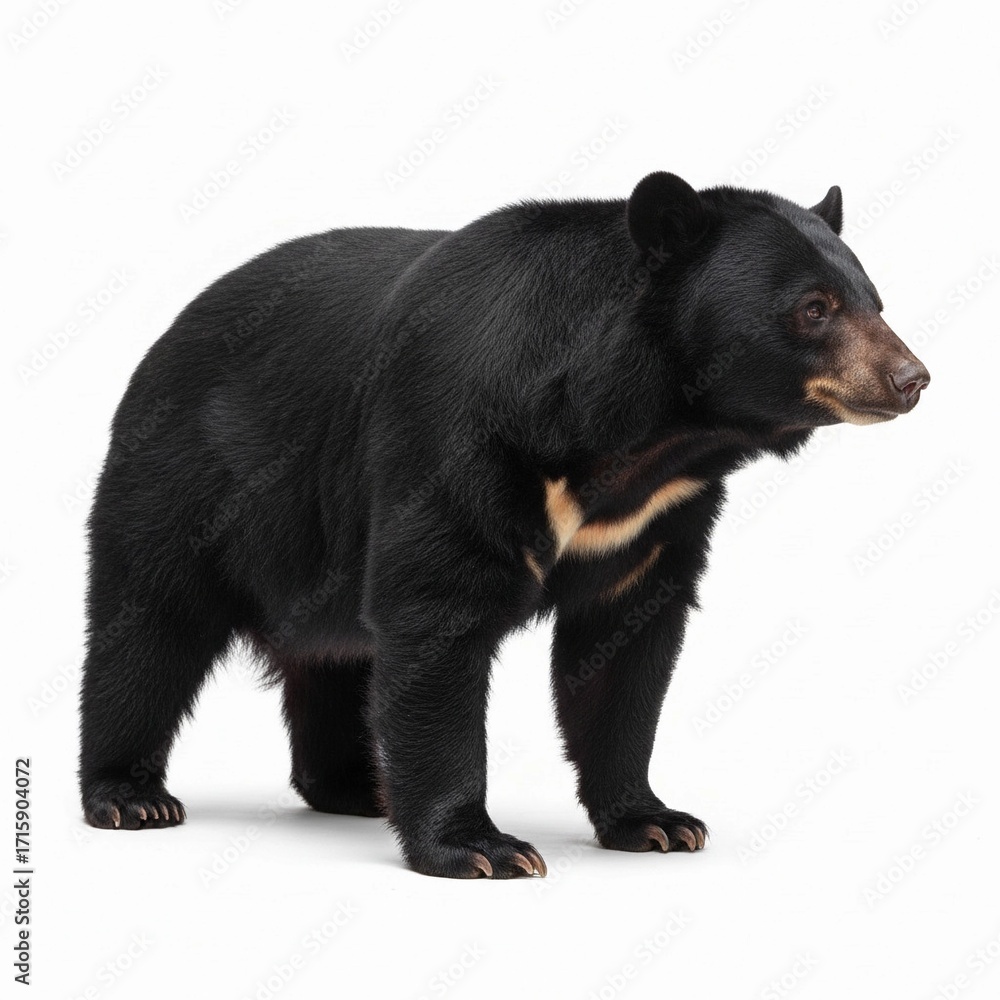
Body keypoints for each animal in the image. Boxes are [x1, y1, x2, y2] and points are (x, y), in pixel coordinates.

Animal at [78, 172, 930, 879]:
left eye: (876, 301)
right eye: (814, 307)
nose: (911, 378)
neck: (643, 435)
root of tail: (167, 332)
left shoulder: (658, 514)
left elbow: (626, 652)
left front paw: (656, 821)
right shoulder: (461, 439)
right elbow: (437, 619)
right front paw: (479, 847)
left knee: (335, 653)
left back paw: (355, 786)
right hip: (188, 481)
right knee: (148, 628)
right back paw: (131, 795)